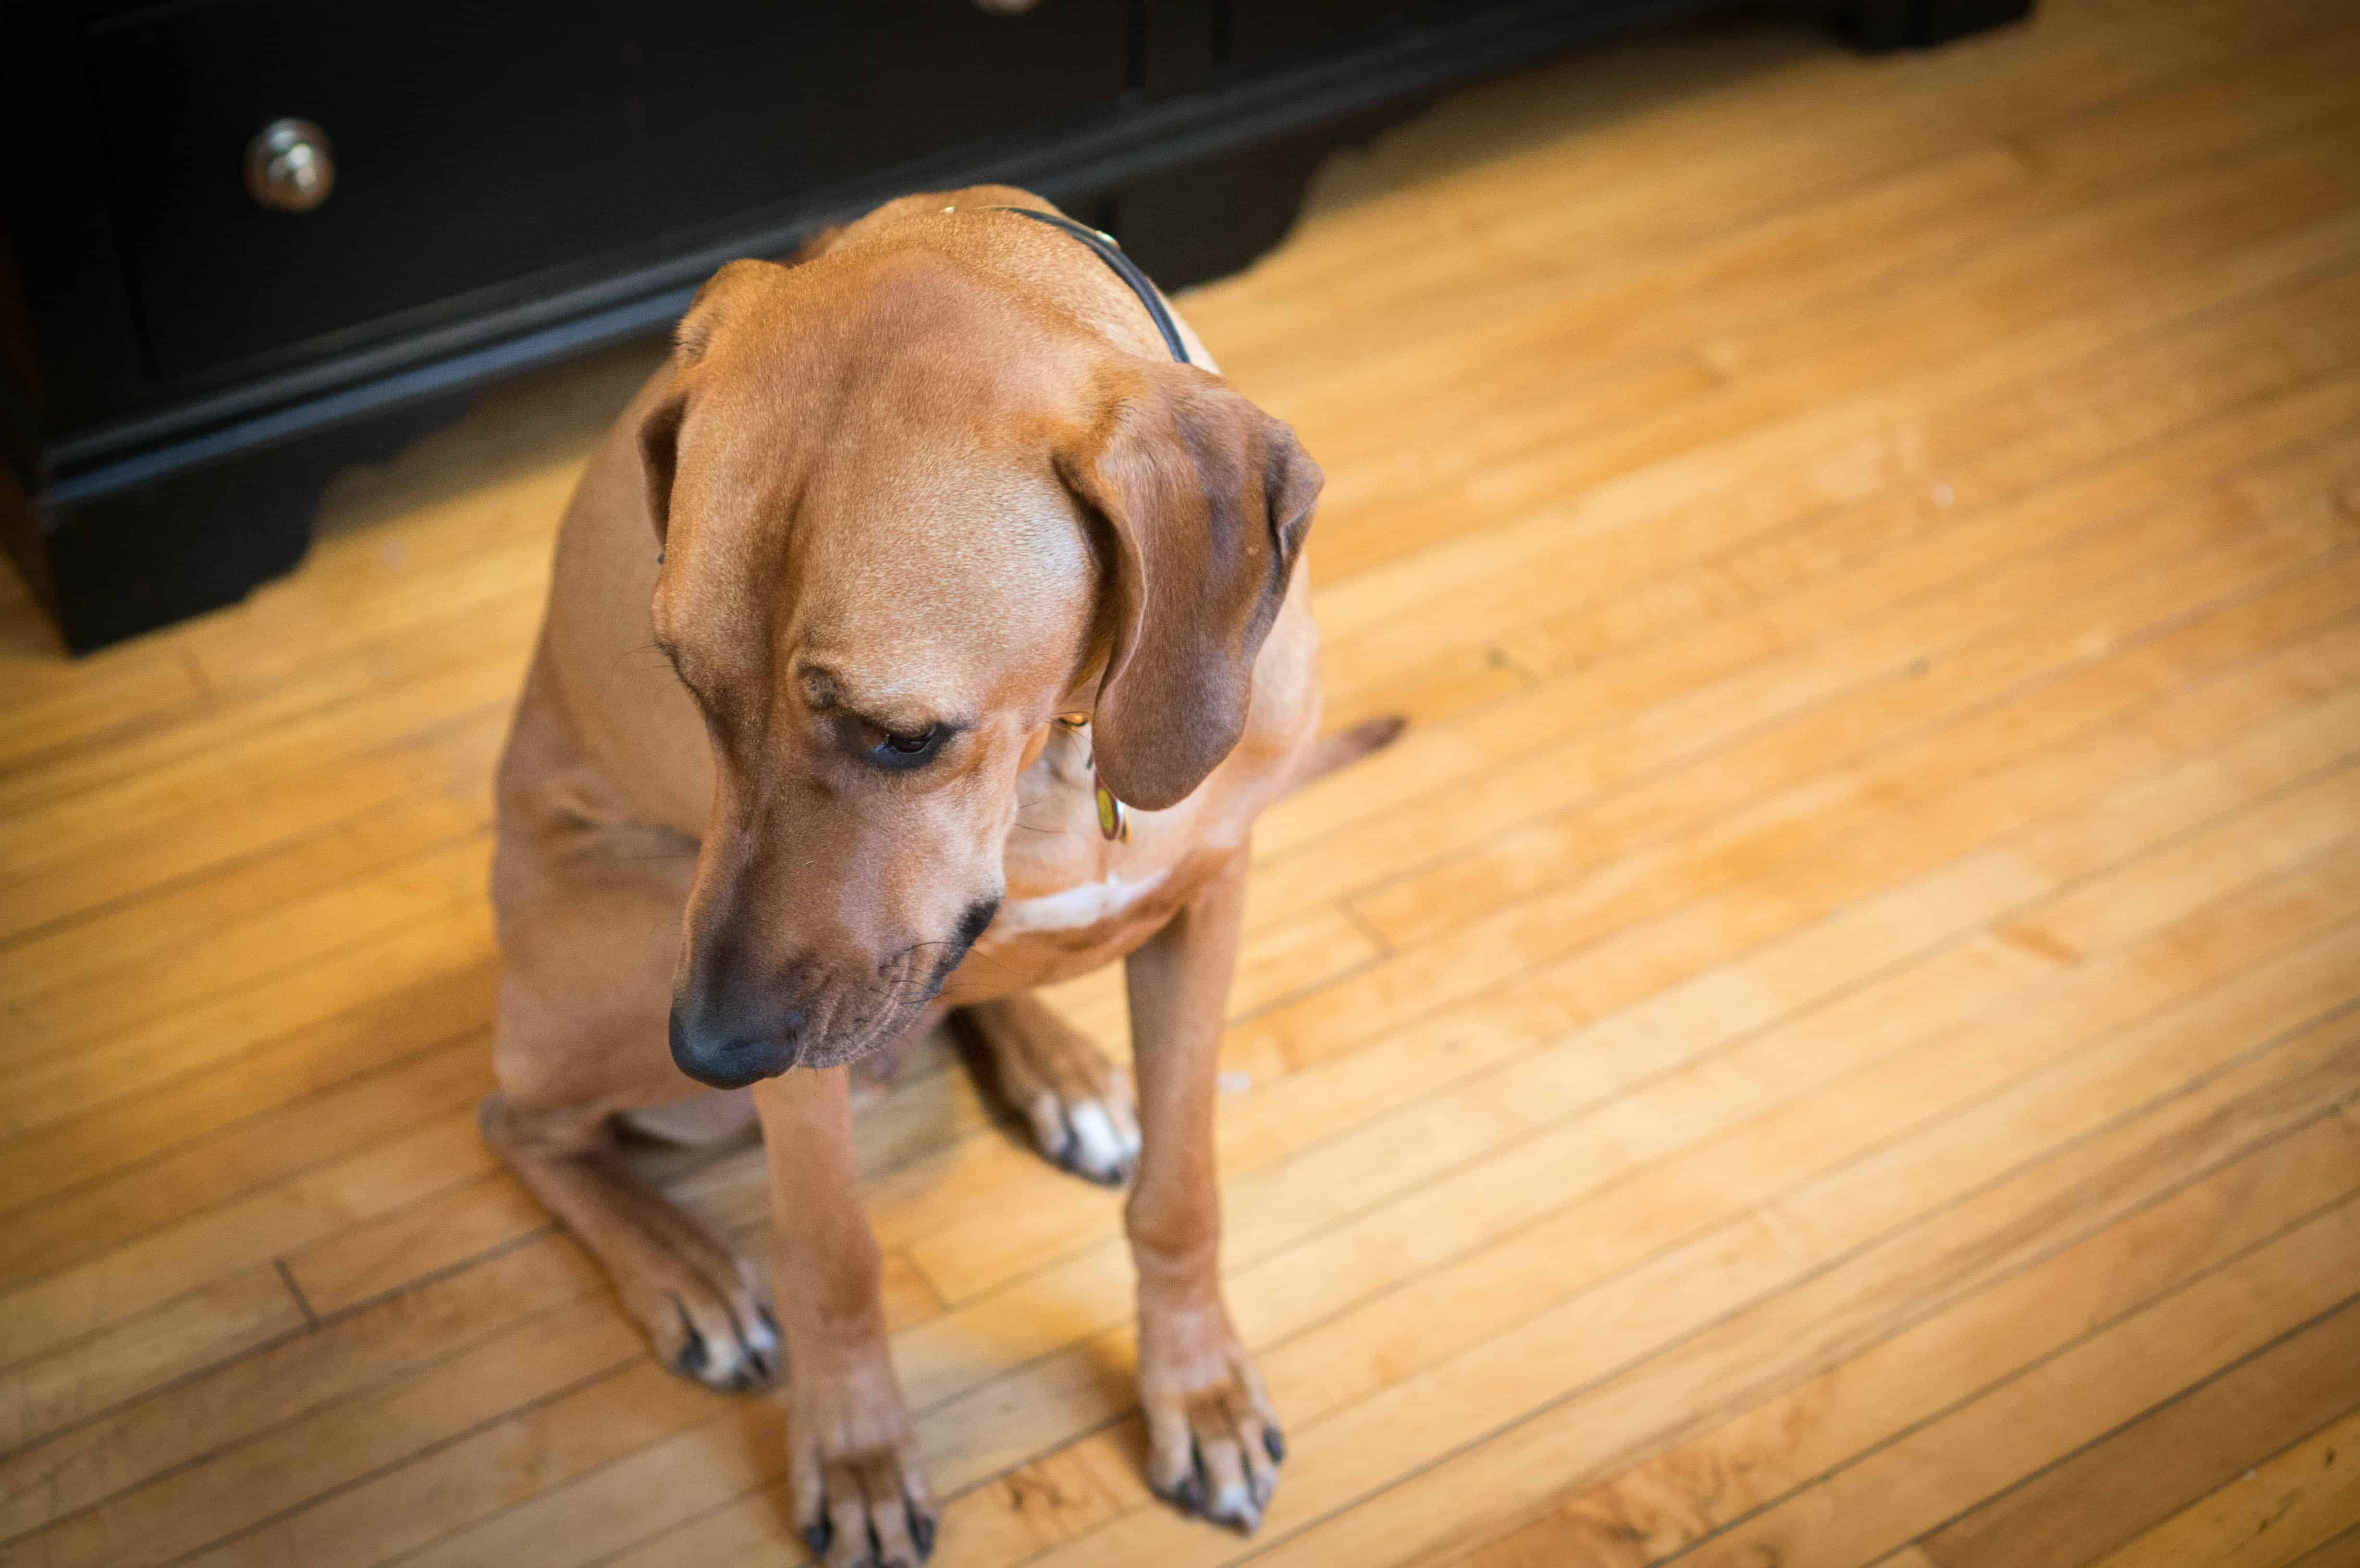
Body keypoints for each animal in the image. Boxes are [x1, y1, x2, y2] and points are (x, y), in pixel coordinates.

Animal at [486, 190, 1388, 1558]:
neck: (1062, 742)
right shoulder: (793, 1040)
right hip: (628, 941)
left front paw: (1197, 1390)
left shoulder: (1212, 892)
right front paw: (857, 1458)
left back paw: (1061, 1069)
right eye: (689, 685)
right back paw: (682, 1268)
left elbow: (1180, 1194)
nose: (708, 1048)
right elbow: (833, 1260)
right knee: (519, 1123)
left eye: (902, 735)